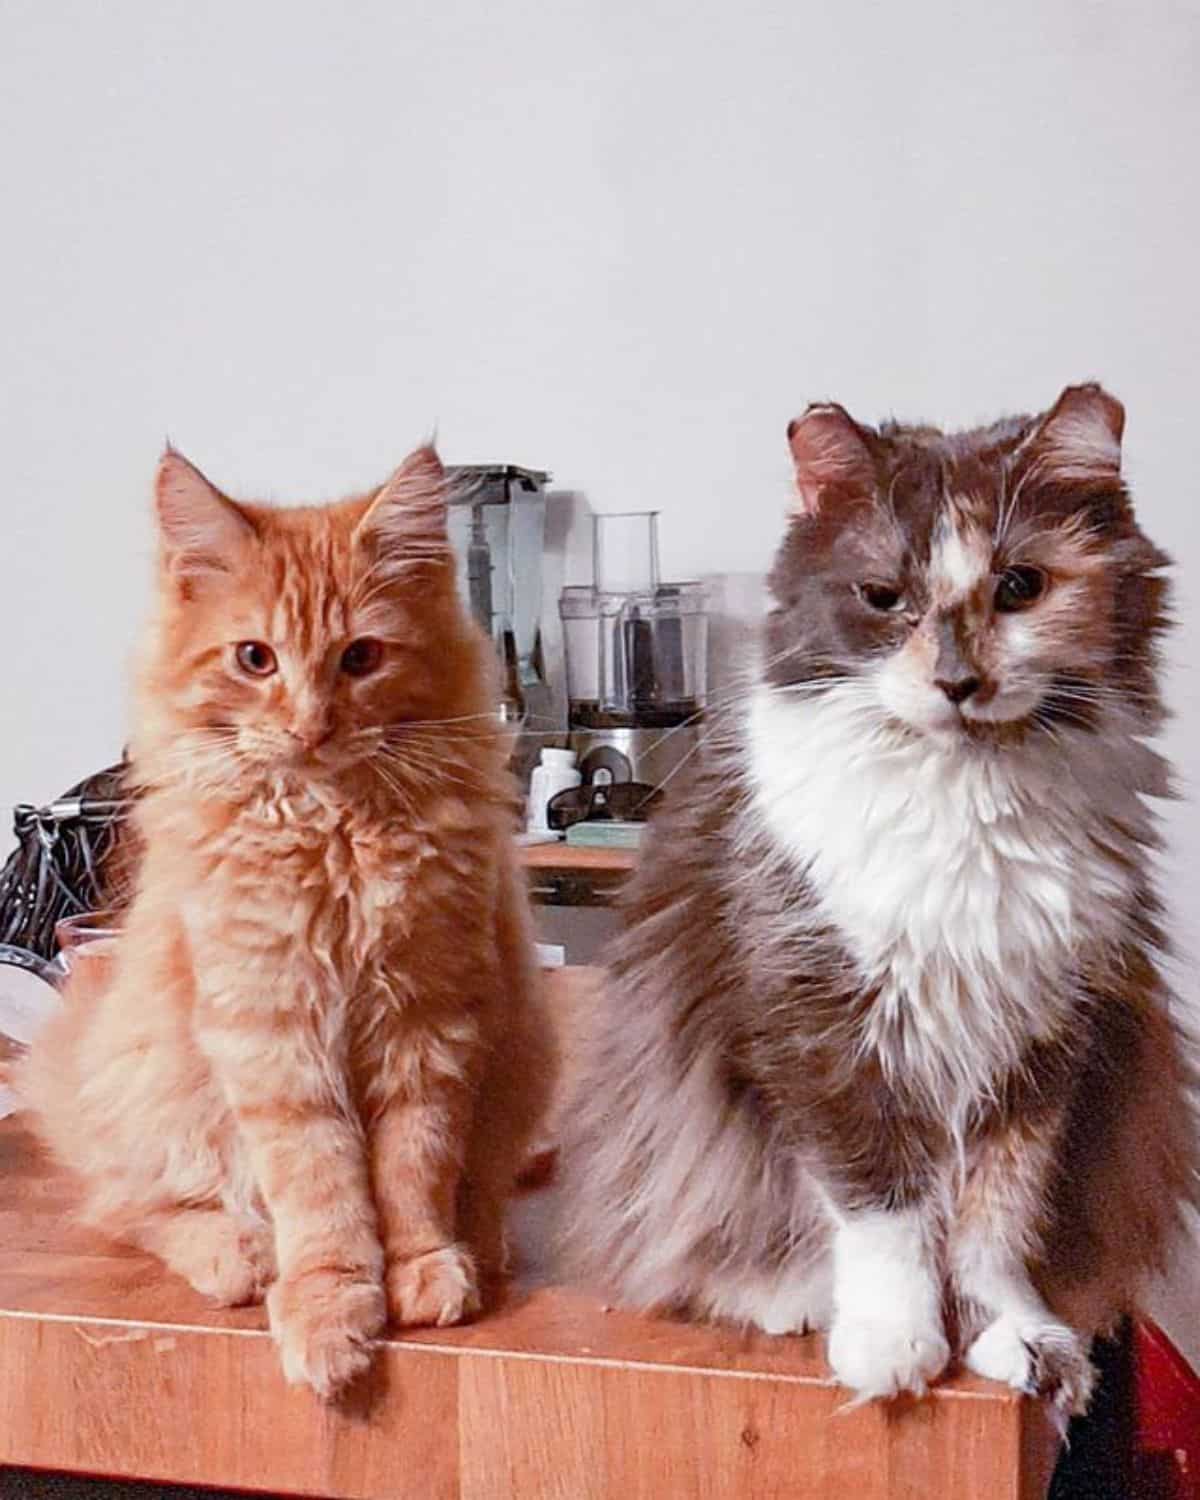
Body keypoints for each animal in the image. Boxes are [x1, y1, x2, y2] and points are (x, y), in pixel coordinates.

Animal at [19, 438, 552, 1398]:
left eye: (362, 657)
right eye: (254, 659)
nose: (312, 726)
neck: (333, 831)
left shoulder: (430, 1020)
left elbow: (413, 1168)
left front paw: (420, 1267)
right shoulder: (272, 1029)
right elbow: (323, 1189)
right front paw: (330, 1305)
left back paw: (479, 1241)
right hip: (158, 1093)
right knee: (136, 1208)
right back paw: (241, 1254)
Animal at [564, 381, 1200, 1410]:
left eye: (1020, 588)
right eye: (883, 599)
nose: (957, 683)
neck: (968, 802)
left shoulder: (1041, 1045)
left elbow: (994, 1220)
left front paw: (1014, 1339)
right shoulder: (823, 1033)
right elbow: (884, 1212)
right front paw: (896, 1345)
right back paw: (795, 1303)